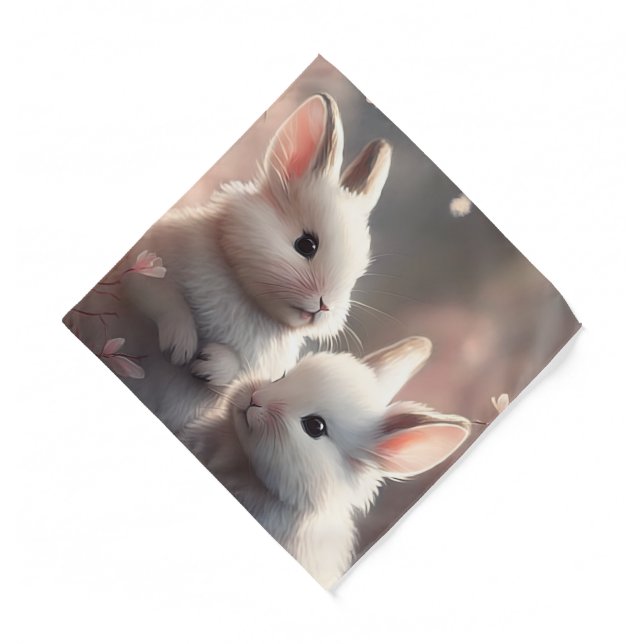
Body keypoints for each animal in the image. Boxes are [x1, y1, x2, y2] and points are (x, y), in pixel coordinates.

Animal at [118, 93, 392, 431]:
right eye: (306, 244)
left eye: (356, 275)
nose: (325, 306)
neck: (249, 298)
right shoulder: (147, 261)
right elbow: (161, 297)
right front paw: (180, 346)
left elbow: (242, 375)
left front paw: (210, 364)